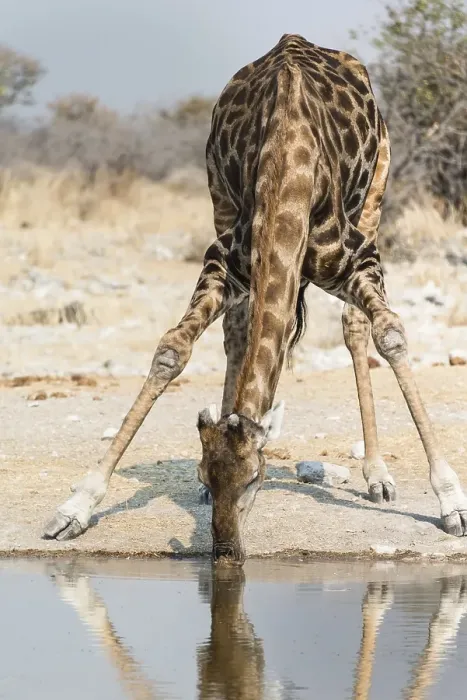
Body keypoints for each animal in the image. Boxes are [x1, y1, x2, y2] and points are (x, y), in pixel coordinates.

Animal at [44, 33, 467, 563]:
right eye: (205, 474)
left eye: (254, 479)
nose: (225, 552)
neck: (289, 168)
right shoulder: (224, 261)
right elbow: (172, 350)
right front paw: (74, 507)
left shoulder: (359, 259)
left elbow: (391, 335)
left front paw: (451, 502)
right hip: (218, 198)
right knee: (237, 330)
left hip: (377, 189)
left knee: (354, 326)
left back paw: (377, 474)